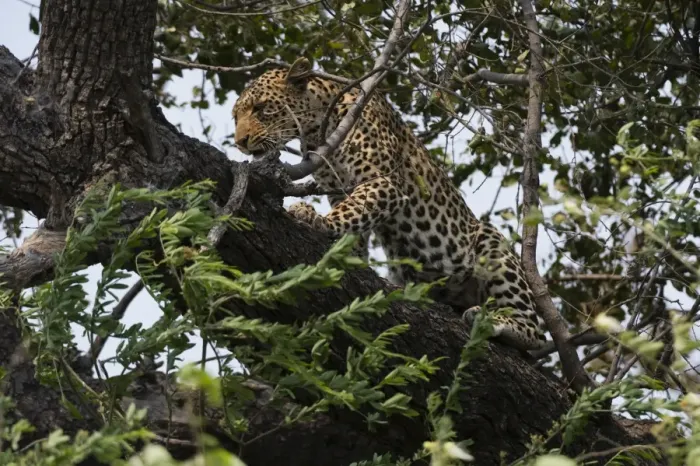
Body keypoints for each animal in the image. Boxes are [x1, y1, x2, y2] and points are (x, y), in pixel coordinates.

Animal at [232, 57, 548, 352]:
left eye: (261, 108)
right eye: (236, 117)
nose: (240, 142)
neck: (317, 126)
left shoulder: (383, 182)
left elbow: (353, 210)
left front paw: (315, 219)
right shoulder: (338, 189)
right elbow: (355, 223)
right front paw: (349, 254)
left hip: (492, 245)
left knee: (534, 331)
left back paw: (492, 320)